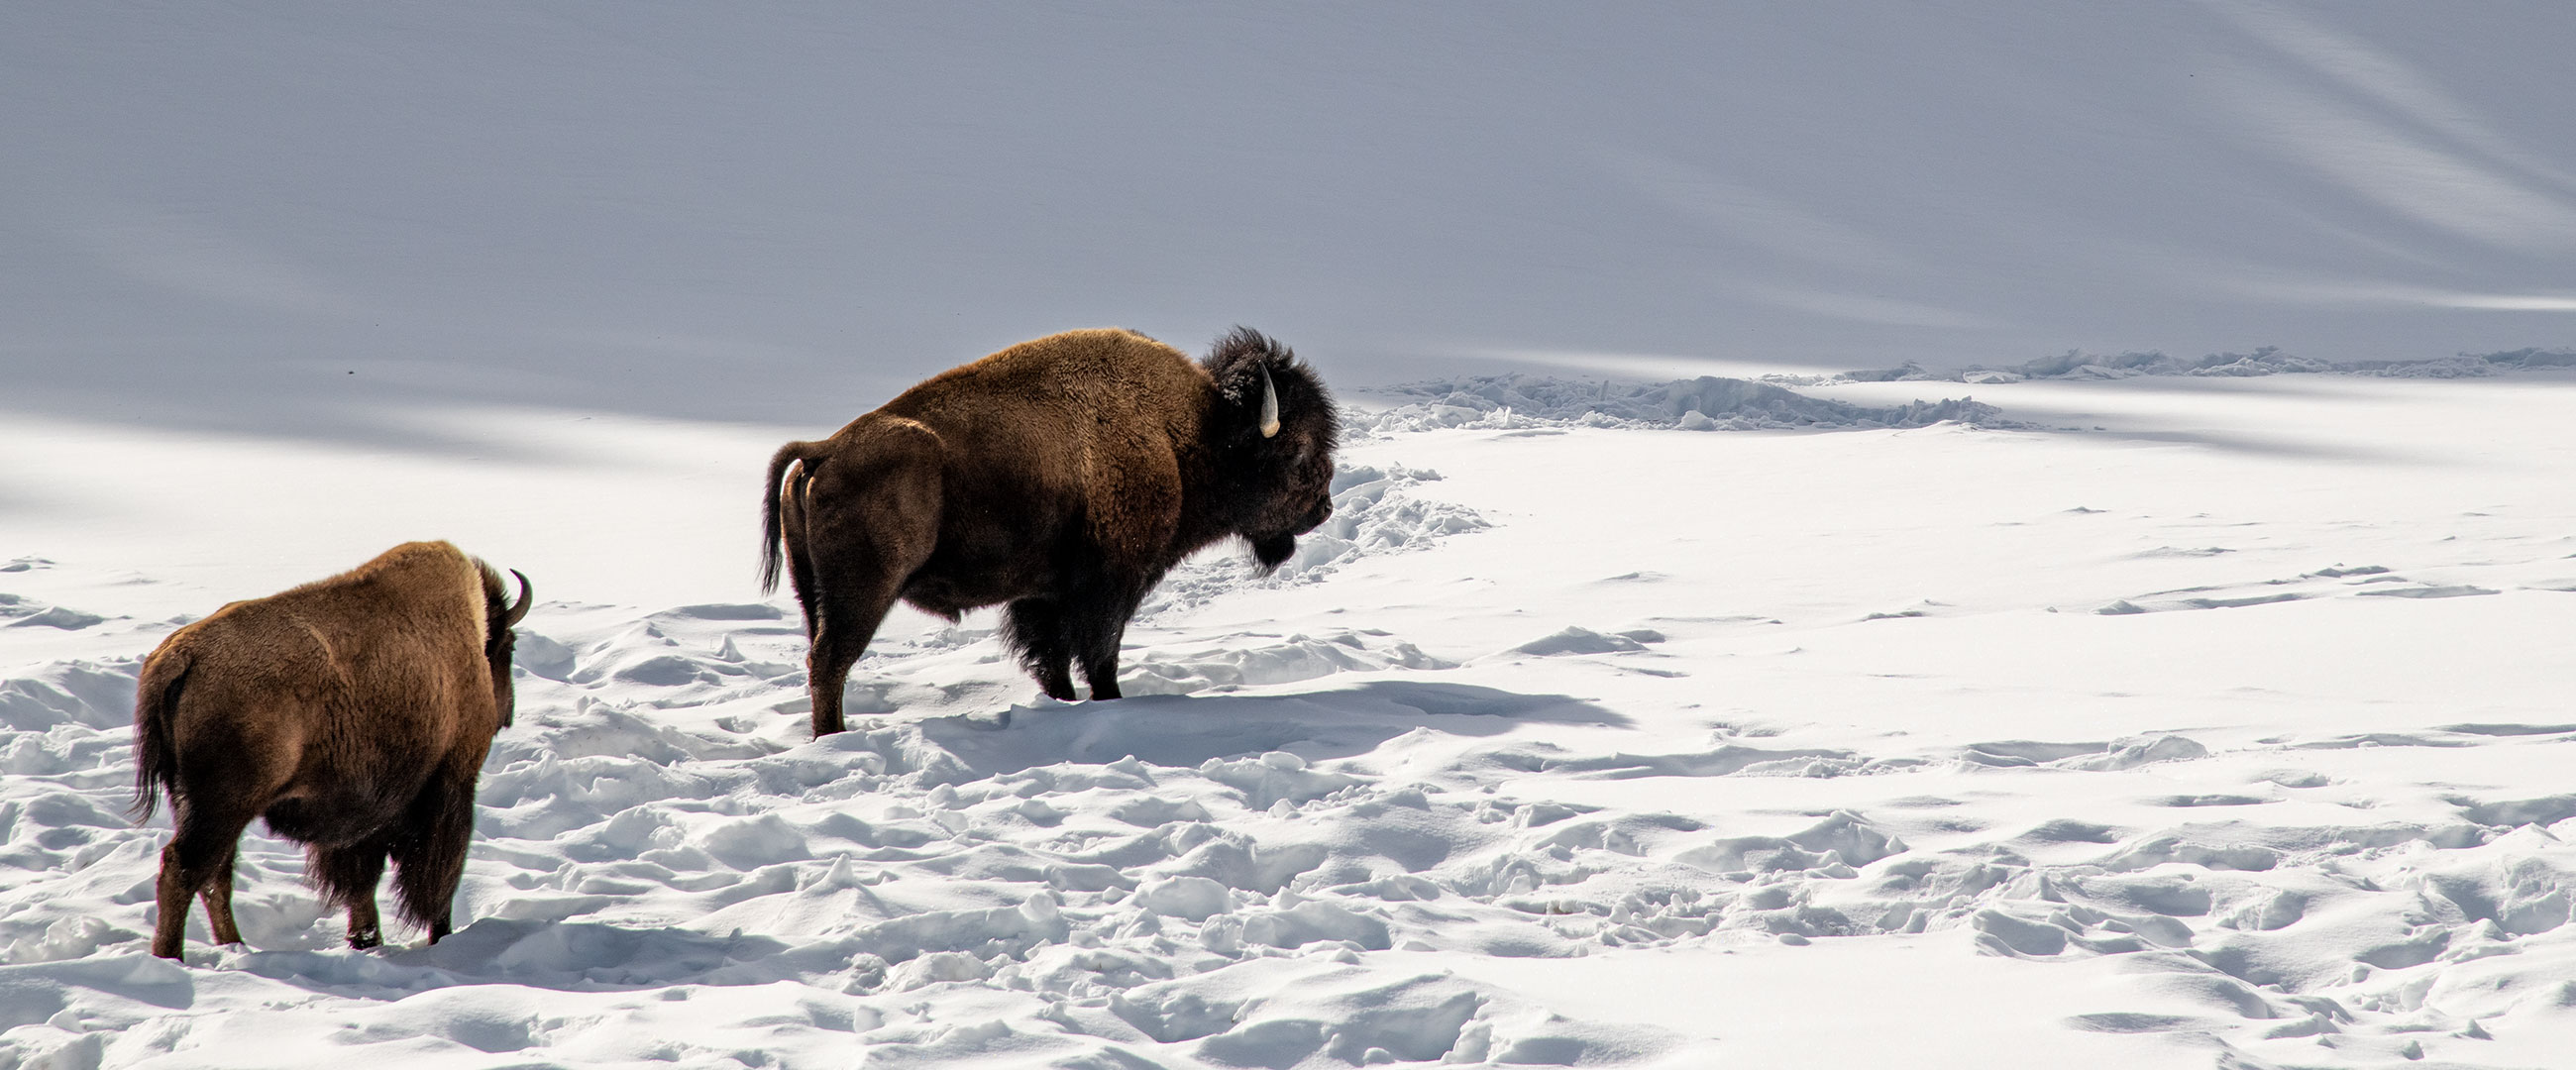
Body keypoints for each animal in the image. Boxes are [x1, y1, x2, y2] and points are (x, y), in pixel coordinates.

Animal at [136, 541, 533, 959]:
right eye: (508, 647)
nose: (507, 712)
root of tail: (182, 656)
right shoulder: (449, 785)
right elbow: (435, 876)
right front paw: (436, 934)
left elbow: (360, 881)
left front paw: (365, 939)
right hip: (222, 807)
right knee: (184, 869)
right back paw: (173, 955)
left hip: (199, 803)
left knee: (215, 875)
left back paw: (234, 945)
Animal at [757, 327, 1340, 737]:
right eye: (1298, 452)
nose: (1325, 508)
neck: (1188, 434)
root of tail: (825, 449)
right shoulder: (1109, 588)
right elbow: (1099, 656)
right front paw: (1109, 702)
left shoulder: (1042, 596)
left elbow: (1052, 660)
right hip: (863, 594)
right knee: (830, 663)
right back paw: (834, 738)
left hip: (813, 594)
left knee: (821, 660)